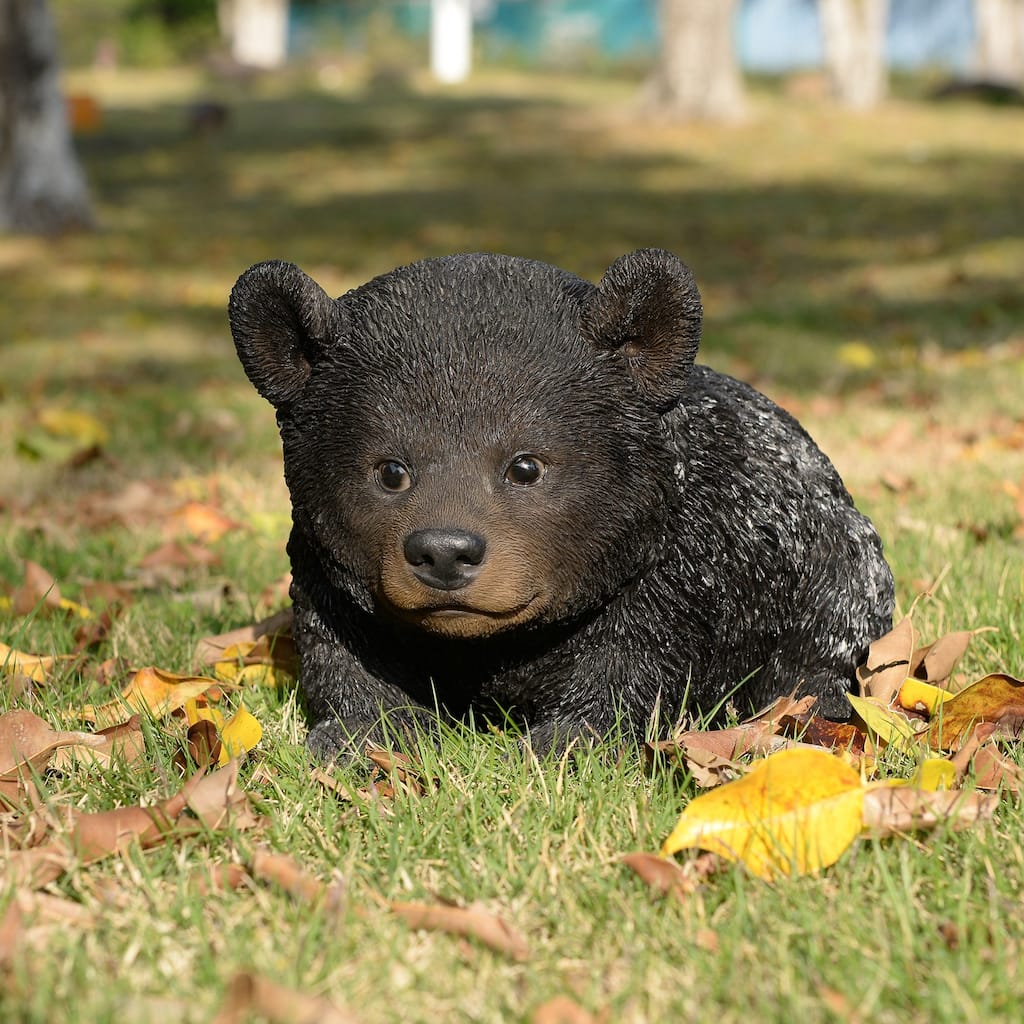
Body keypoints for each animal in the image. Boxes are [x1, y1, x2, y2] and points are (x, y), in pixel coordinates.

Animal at [228, 248, 895, 760]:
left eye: (526, 465)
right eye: (391, 471)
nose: (444, 551)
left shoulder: (681, 573)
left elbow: (630, 664)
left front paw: (565, 742)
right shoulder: (321, 563)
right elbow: (344, 646)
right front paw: (361, 737)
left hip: (841, 572)